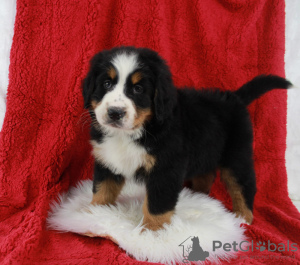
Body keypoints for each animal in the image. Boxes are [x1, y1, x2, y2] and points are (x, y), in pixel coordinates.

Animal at [81, 46, 292, 230]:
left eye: (138, 89)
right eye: (107, 84)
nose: (115, 112)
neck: (134, 132)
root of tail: (234, 97)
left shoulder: (166, 168)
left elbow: (157, 204)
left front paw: (152, 232)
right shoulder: (108, 159)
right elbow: (103, 189)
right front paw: (92, 214)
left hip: (237, 154)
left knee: (243, 184)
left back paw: (243, 217)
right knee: (206, 174)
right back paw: (199, 198)